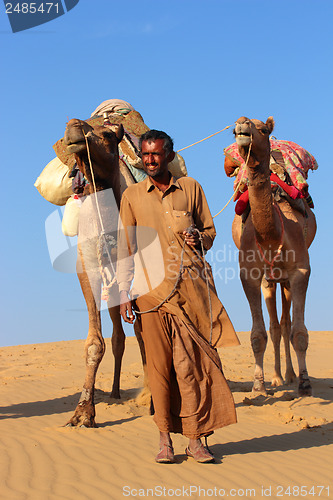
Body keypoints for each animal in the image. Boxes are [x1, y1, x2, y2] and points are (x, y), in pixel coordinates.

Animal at [63, 118, 147, 426]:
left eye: (109, 136)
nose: (73, 126)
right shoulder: (89, 270)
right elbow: (93, 343)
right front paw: (83, 412)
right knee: (117, 337)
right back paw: (113, 392)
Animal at [227, 116, 316, 394]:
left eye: (264, 130)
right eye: (234, 130)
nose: (242, 124)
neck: (272, 236)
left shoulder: (300, 271)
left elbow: (299, 332)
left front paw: (305, 382)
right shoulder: (249, 275)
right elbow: (258, 334)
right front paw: (259, 386)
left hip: (284, 279)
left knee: (286, 324)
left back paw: (290, 376)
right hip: (270, 280)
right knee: (276, 326)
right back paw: (277, 377)